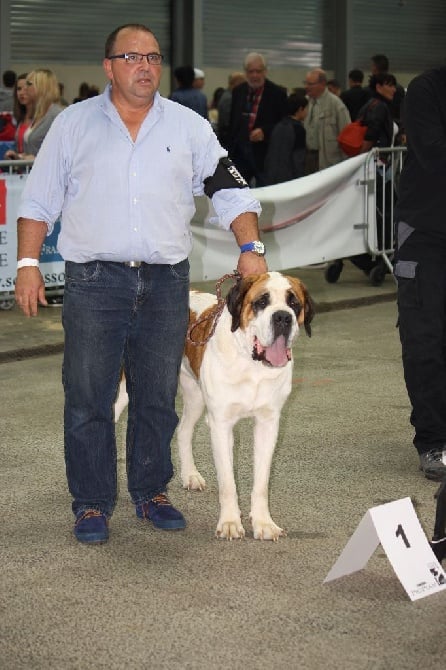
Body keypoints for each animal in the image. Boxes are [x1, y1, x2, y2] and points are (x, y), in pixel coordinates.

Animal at [178, 272, 314, 540]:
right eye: (261, 301)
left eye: (294, 303)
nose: (283, 317)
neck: (253, 366)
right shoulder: (221, 425)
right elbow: (228, 482)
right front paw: (230, 523)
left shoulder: (268, 424)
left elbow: (261, 482)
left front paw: (264, 523)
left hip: (195, 397)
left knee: (183, 429)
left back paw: (190, 476)